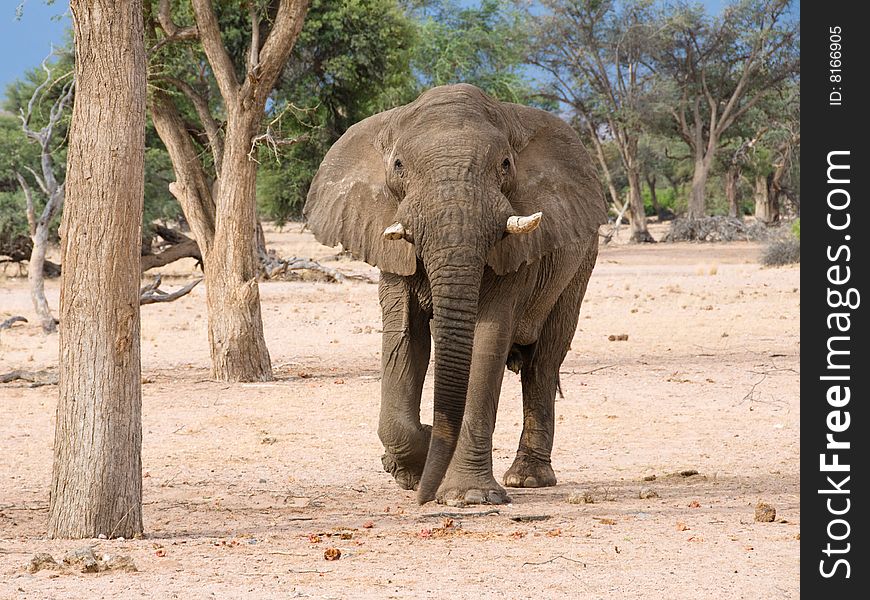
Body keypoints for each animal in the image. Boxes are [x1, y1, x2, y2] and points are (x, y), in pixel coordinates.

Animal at [304, 83, 608, 506]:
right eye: (398, 165)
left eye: (505, 165)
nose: (423, 497)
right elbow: (404, 339)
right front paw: (414, 470)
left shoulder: (516, 251)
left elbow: (488, 340)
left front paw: (468, 496)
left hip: (580, 266)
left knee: (543, 363)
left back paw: (527, 480)